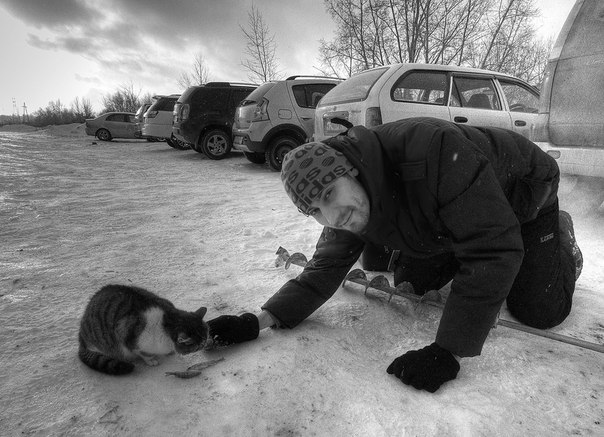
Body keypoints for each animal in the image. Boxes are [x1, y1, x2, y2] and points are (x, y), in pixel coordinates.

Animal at [78, 282, 210, 374]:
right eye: (199, 346)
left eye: (206, 337)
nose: (206, 344)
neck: (167, 319)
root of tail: (81, 336)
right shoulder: (131, 340)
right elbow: (143, 353)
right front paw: (151, 360)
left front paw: (170, 352)